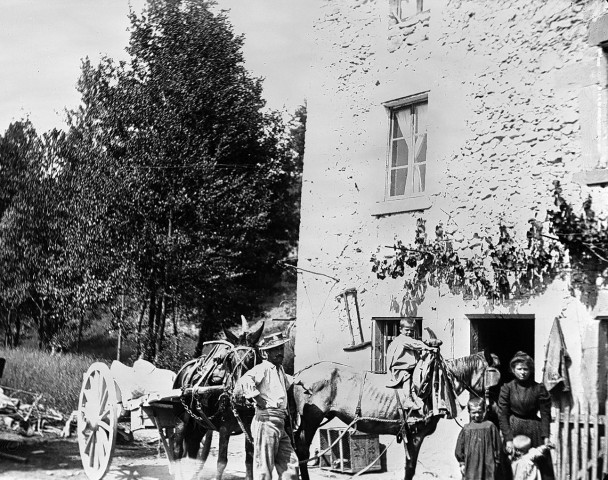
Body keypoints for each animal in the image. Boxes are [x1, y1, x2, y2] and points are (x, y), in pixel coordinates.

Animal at [172, 322, 264, 480]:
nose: (239, 395)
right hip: (182, 419)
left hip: (200, 423)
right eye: (230, 360)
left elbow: (249, 460)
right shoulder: (224, 427)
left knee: (193, 448)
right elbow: (221, 462)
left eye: (252, 359)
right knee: (178, 450)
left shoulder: (249, 427)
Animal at [294, 348, 498, 480]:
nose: (492, 407)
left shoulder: (408, 434)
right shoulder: (415, 434)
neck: (433, 387)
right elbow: (410, 469)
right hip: (312, 418)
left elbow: (409, 468)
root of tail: (300, 374)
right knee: (302, 449)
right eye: (494, 374)